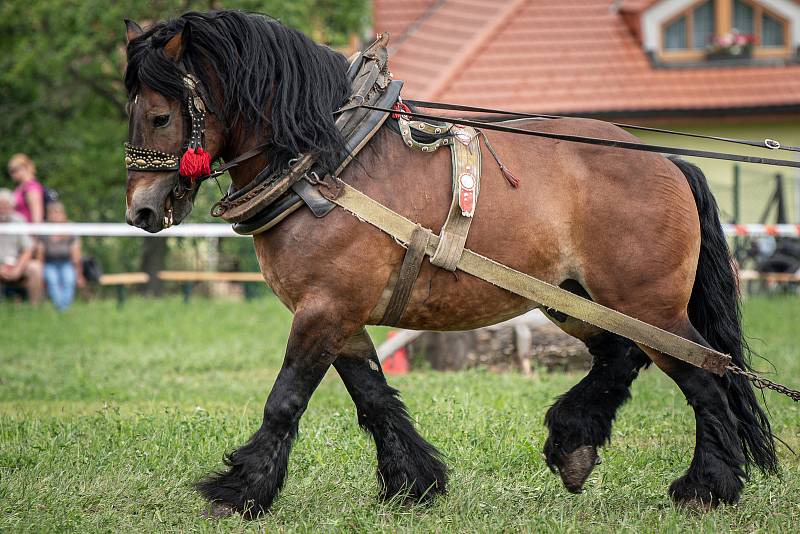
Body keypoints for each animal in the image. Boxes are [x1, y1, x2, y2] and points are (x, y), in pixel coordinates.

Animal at [123, 9, 776, 520]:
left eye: (159, 116)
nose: (141, 210)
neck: (326, 164)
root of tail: (667, 162)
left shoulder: (324, 309)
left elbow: (285, 398)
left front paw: (239, 490)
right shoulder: (342, 313)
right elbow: (373, 395)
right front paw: (413, 481)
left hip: (648, 303)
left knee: (705, 377)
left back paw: (707, 486)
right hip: (578, 298)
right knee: (622, 356)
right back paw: (573, 444)